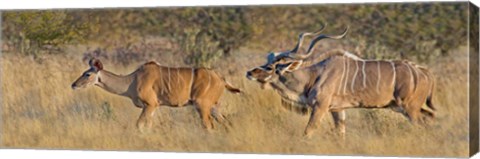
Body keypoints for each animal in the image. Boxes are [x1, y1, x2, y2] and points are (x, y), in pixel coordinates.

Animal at [71, 58, 242, 132]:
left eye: (87, 74)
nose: (73, 85)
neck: (132, 80)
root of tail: (221, 78)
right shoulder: (153, 107)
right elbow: (148, 125)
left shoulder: (150, 104)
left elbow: (139, 125)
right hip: (213, 106)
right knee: (226, 122)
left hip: (202, 105)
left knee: (208, 125)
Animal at [246, 27, 436, 137]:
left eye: (270, 67)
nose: (249, 72)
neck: (314, 75)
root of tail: (424, 72)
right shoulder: (338, 110)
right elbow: (341, 134)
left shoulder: (320, 107)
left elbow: (308, 131)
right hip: (410, 108)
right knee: (430, 119)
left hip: (409, 108)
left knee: (423, 125)